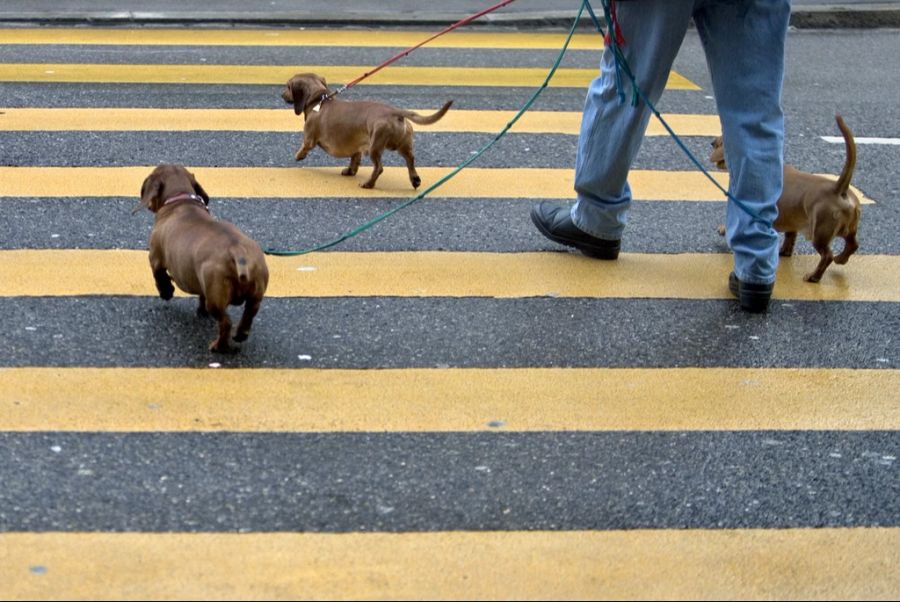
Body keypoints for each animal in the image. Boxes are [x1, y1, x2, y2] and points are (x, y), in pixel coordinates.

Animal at [133, 164, 268, 352]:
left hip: (216, 300)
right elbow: (200, 296)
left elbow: (160, 277)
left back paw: (218, 346)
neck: (181, 200)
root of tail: (237, 251)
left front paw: (166, 292)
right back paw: (240, 335)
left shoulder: (155, 258)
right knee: (248, 315)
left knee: (225, 323)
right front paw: (200, 310)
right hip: (254, 297)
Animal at [282, 73, 450, 189]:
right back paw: (414, 179)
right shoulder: (356, 148)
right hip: (403, 145)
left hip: (375, 147)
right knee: (411, 160)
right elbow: (354, 160)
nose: (281, 95)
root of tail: (395, 112)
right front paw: (350, 171)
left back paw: (368, 184)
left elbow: (305, 146)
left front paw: (299, 155)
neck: (320, 100)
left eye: (288, 86)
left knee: (379, 168)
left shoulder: (309, 138)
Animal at [712, 116, 860, 282]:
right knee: (853, 244)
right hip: (847, 229)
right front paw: (784, 251)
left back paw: (813, 277)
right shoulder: (792, 220)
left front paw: (723, 230)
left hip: (820, 234)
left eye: (721, 141)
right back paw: (841, 259)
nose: (711, 142)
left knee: (827, 256)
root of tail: (838, 189)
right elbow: (790, 237)